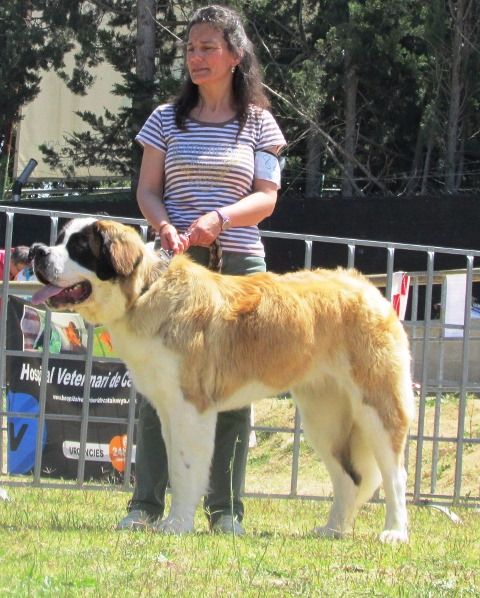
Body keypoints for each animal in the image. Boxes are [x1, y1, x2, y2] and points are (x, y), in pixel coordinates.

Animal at [30, 219, 414, 544]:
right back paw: (332, 530)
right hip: (324, 418)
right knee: (350, 478)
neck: (145, 291)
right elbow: (175, 466)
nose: (36, 250)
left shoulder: (190, 409)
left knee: (394, 475)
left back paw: (395, 532)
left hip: (376, 408)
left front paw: (177, 525)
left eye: (79, 247)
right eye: (59, 240)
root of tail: (366, 287)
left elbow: (186, 468)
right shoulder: (167, 410)